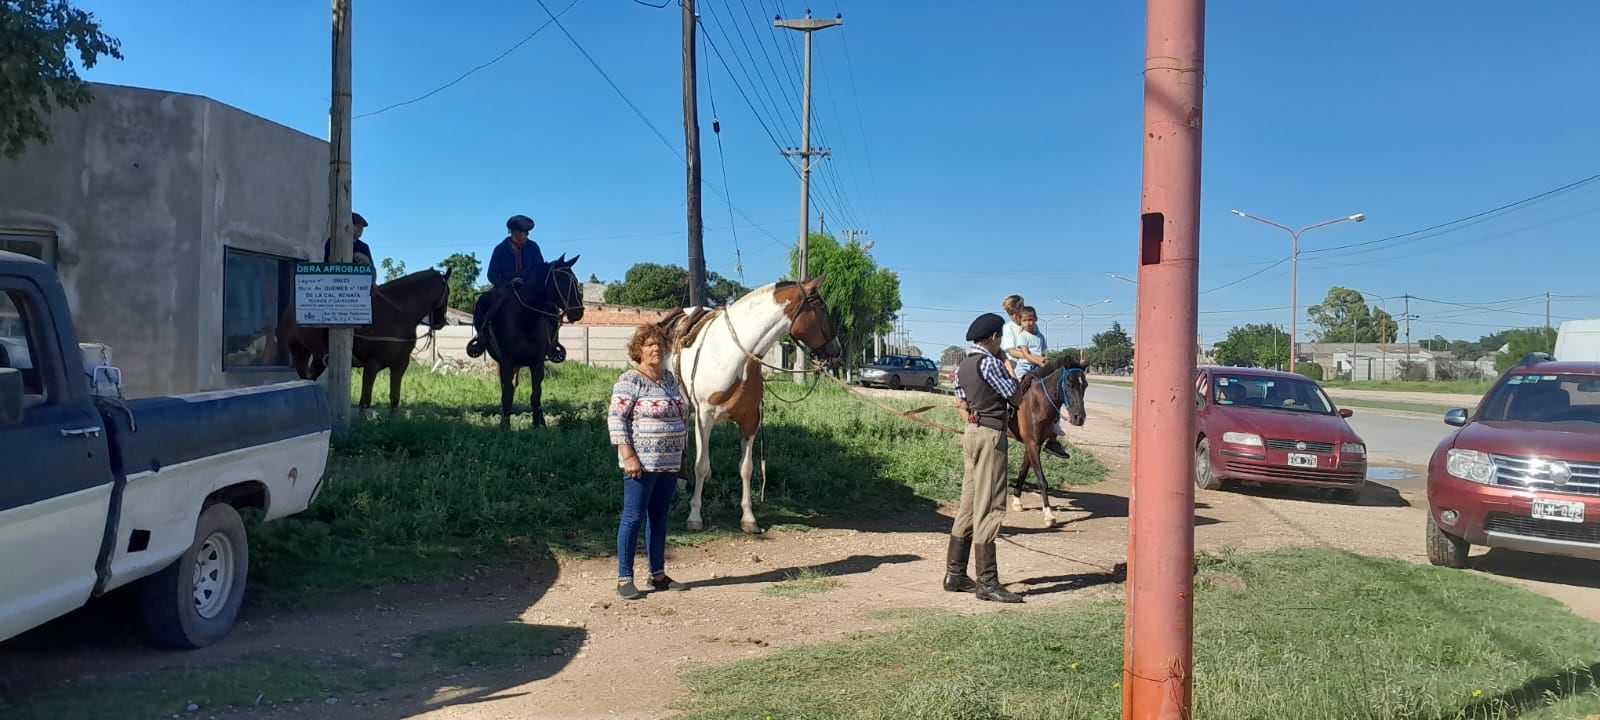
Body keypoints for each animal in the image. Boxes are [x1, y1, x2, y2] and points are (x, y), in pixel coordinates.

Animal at [275, 265, 451, 412]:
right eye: (448, 292)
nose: (441, 322)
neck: (396, 316)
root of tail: (290, 310)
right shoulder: (372, 365)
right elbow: (365, 400)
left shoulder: (399, 365)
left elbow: (394, 399)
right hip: (299, 351)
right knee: (304, 377)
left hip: (319, 358)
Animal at [656, 275, 844, 534]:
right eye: (823, 309)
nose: (837, 350)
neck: (733, 357)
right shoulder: (705, 418)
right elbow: (701, 465)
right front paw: (694, 516)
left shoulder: (750, 421)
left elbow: (747, 468)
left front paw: (748, 518)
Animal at [1004, 356, 1094, 524]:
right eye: (1069, 383)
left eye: (1085, 385)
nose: (1079, 417)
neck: (1037, 403)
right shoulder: (1032, 445)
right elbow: (1041, 480)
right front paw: (1048, 514)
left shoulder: (1033, 445)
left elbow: (1023, 471)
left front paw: (1017, 501)